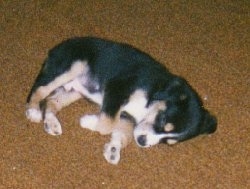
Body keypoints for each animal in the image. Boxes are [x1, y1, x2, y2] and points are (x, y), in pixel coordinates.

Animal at [25, 36, 217, 164]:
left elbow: (123, 132)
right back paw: (33, 111)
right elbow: (107, 123)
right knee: (39, 90)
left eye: (167, 142)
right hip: (72, 66)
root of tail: (55, 49)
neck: (152, 94)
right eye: (162, 120)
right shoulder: (117, 89)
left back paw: (51, 123)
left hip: (73, 91)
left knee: (51, 102)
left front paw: (113, 149)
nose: (143, 142)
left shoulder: (127, 116)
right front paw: (89, 121)